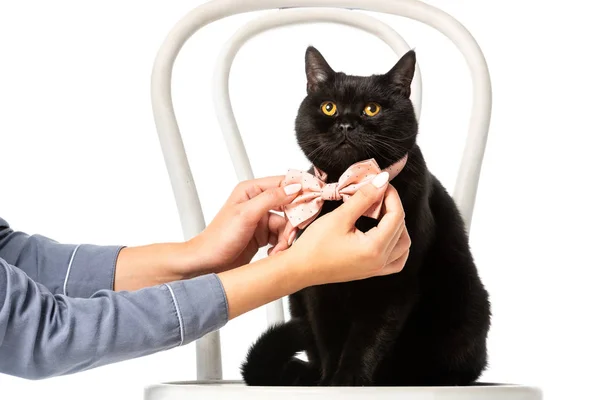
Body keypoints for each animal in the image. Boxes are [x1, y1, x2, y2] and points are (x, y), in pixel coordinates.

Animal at [240, 47, 492, 388]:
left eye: (372, 109)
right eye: (329, 107)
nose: (346, 124)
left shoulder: (395, 282)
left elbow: (368, 338)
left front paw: (348, 381)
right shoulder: (317, 284)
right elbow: (329, 337)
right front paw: (329, 383)